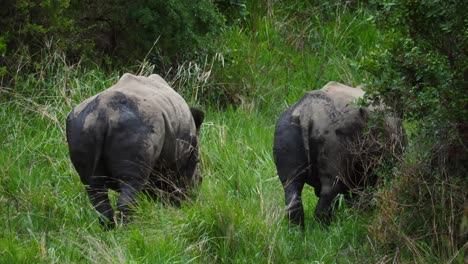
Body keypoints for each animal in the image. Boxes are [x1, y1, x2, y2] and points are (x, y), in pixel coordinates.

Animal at [66, 73, 205, 228]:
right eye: (197, 162)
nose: (199, 185)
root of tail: (102, 115)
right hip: (137, 126)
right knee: (132, 182)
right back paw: (131, 228)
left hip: (81, 126)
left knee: (94, 187)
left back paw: (110, 229)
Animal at [272, 81, 404, 226]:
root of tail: (306, 112)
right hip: (332, 136)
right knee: (329, 191)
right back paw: (323, 227)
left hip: (285, 128)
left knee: (292, 190)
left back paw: (298, 229)